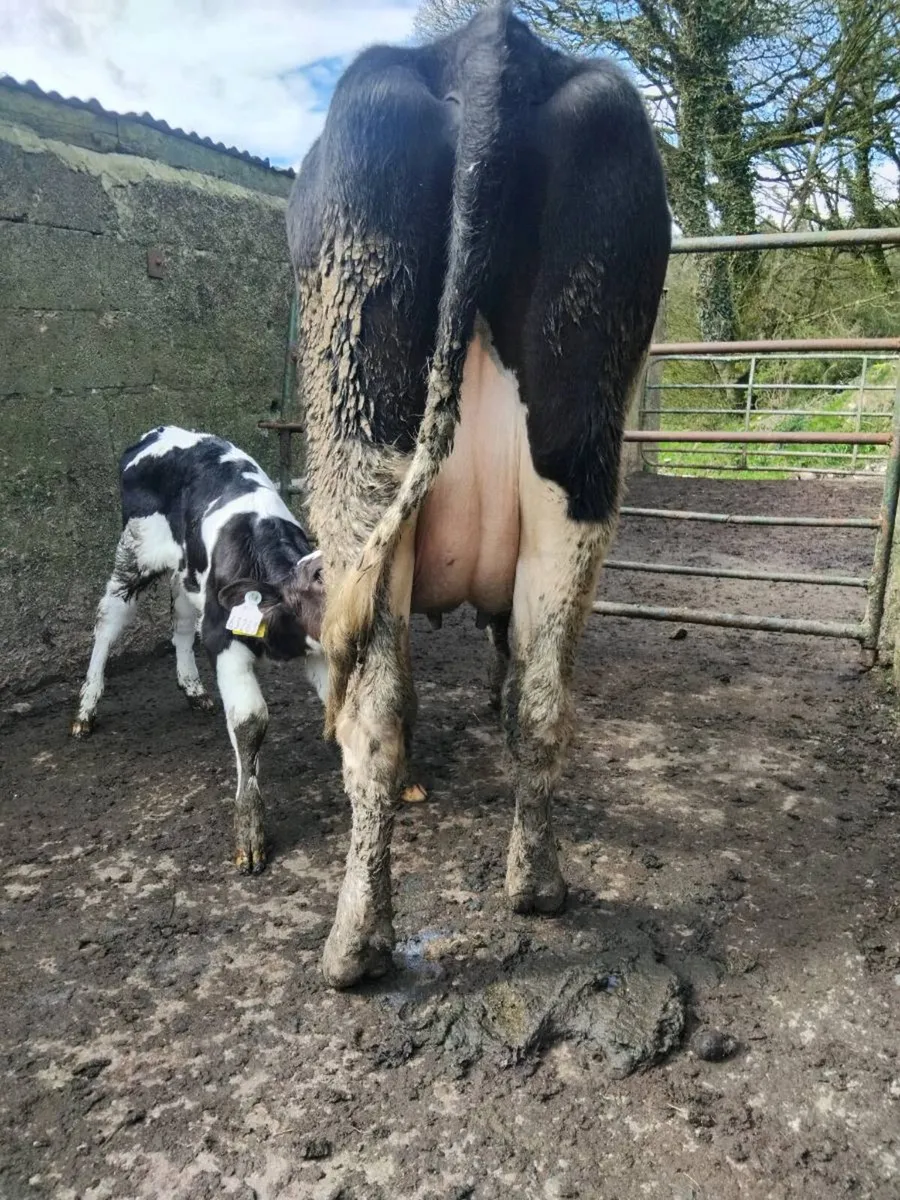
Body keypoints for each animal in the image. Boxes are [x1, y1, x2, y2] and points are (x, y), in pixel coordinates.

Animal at [70, 425, 328, 873]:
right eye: (319, 584)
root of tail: (158, 430)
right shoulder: (223, 639)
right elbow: (249, 721)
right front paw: (249, 834)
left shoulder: (315, 650)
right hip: (135, 551)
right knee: (109, 618)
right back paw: (87, 708)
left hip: (186, 574)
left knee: (180, 622)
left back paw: (192, 688)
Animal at [287, 1, 670, 988]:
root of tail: (489, 45)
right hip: (578, 461)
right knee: (540, 701)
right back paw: (536, 886)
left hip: (357, 438)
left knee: (375, 720)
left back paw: (354, 945)